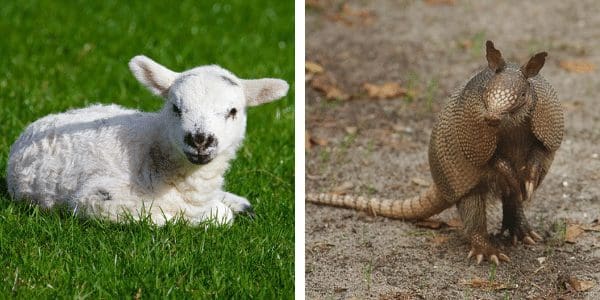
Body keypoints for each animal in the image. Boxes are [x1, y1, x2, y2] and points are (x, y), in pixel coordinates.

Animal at [5, 55, 290, 226]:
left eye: (232, 111)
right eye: (176, 108)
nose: (200, 140)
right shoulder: (96, 199)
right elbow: (173, 217)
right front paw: (207, 215)